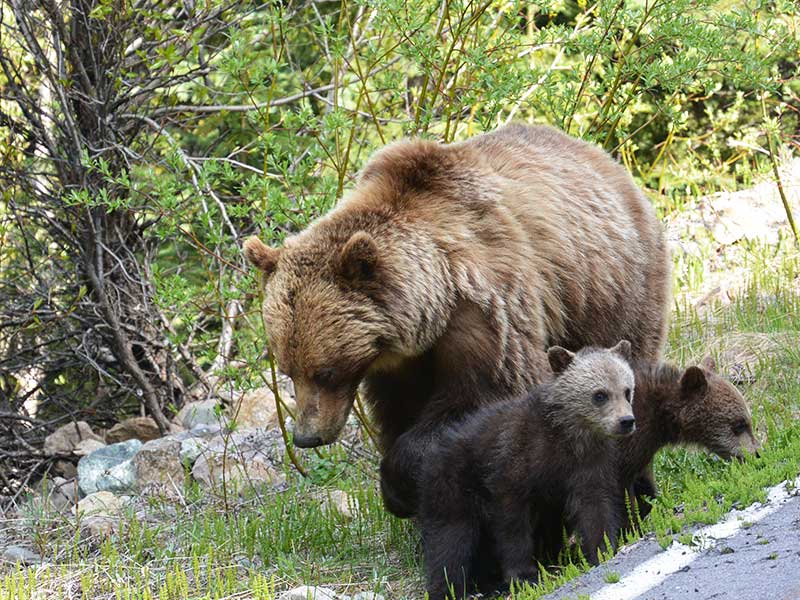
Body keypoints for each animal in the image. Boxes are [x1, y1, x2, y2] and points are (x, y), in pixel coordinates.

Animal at [242, 123, 668, 516]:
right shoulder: (398, 363)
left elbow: (483, 395)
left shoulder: (488, 309)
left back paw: (638, 491)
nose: (306, 437)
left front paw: (400, 482)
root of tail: (604, 159)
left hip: (613, 287)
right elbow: (399, 412)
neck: (432, 305)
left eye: (325, 372)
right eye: (288, 370)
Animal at [418, 340, 636, 596]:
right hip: (453, 487)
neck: (569, 434)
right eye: (600, 395)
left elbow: (595, 506)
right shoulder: (513, 461)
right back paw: (450, 589)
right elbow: (512, 524)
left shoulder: (588, 464)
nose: (626, 421)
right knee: (450, 541)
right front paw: (524, 575)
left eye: (627, 390)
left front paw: (602, 549)